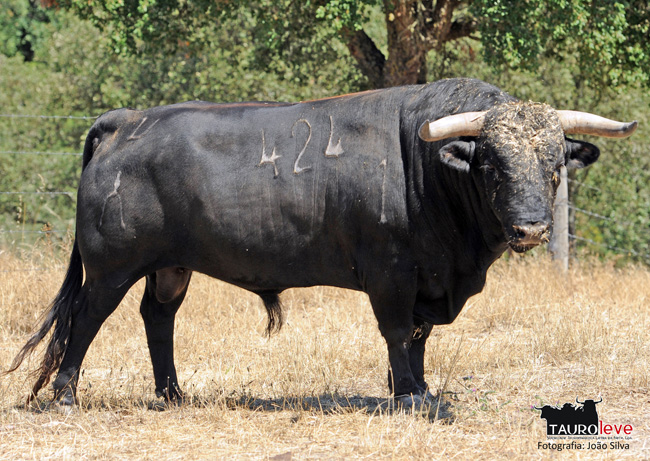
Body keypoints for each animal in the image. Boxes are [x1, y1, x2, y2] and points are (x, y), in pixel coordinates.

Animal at [8, 78, 637, 408]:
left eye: (554, 166)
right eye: (491, 165)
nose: (531, 228)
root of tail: (127, 120)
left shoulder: (429, 278)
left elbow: (420, 335)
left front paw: (419, 387)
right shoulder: (391, 271)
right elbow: (396, 330)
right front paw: (408, 397)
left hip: (171, 266)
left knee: (158, 317)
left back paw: (173, 395)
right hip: (110, 265)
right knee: (87, 319)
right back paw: (65, 395)